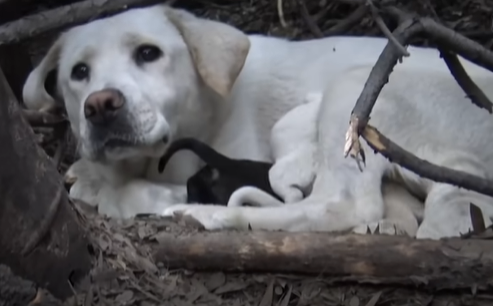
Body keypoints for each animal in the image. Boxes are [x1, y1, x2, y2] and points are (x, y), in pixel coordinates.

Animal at [24, 4, 493, 239]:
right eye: (79, 73)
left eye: (148, 53)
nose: (101, 105)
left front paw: (109, 190)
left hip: (356, 92)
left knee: (337, 204)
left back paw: (206, 215)